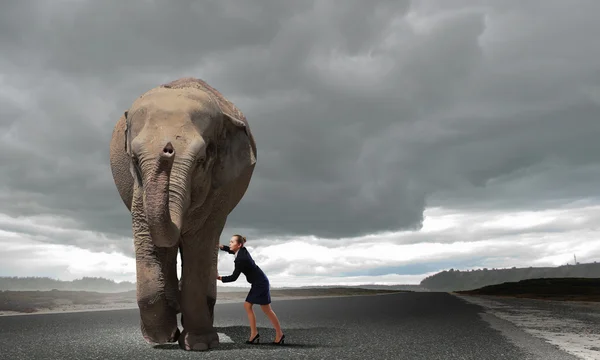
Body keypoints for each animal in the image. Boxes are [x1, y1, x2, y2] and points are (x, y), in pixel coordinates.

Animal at [109, 77, 256, 350]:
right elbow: (150, 238)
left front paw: (199, 345)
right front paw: (160, 338)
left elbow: (200, 243)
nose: (167, 150)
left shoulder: (219, 190)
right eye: (133, 159)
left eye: (201, 160)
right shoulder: (139, 189)